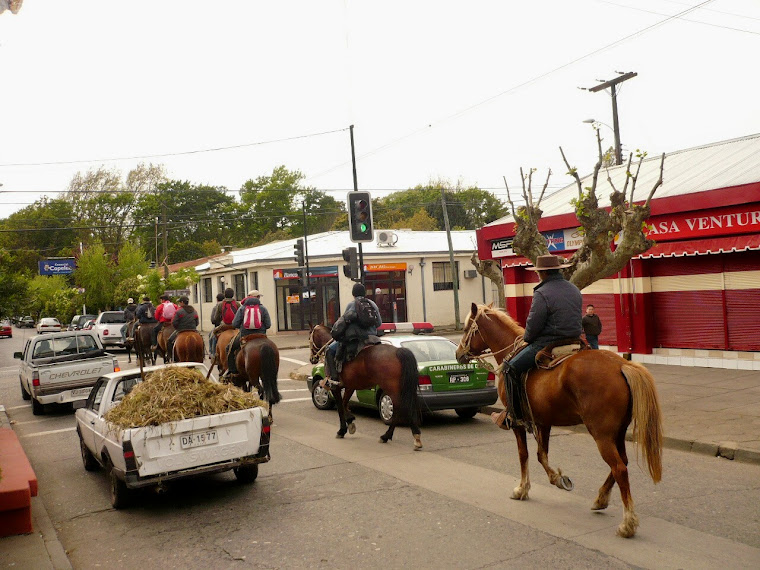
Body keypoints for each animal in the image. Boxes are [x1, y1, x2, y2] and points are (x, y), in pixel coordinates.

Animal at [454, 302, 664, 536]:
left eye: (466, 329)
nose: (458, 353)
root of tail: (621, 365)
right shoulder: (543, 422)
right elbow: (541, 454)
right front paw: (557, 479)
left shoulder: (518, 422)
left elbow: (524, 455)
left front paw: (523, 488)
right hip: (617, 433)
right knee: (622, 463)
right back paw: (601, 499)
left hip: (601, 434)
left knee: (619, 468)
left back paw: (628, 523)